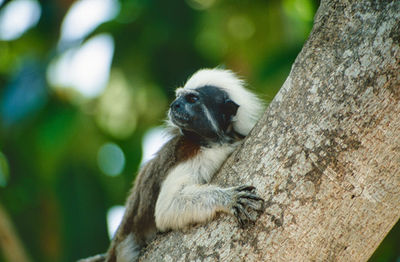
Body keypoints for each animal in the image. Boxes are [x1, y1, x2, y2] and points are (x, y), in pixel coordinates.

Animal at [79, 69, 266, 262]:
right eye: (178, 97)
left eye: (192, 99)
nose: (174, 105)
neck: (215, 142)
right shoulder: (191, 155)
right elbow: (167, 207)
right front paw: (229, 198)